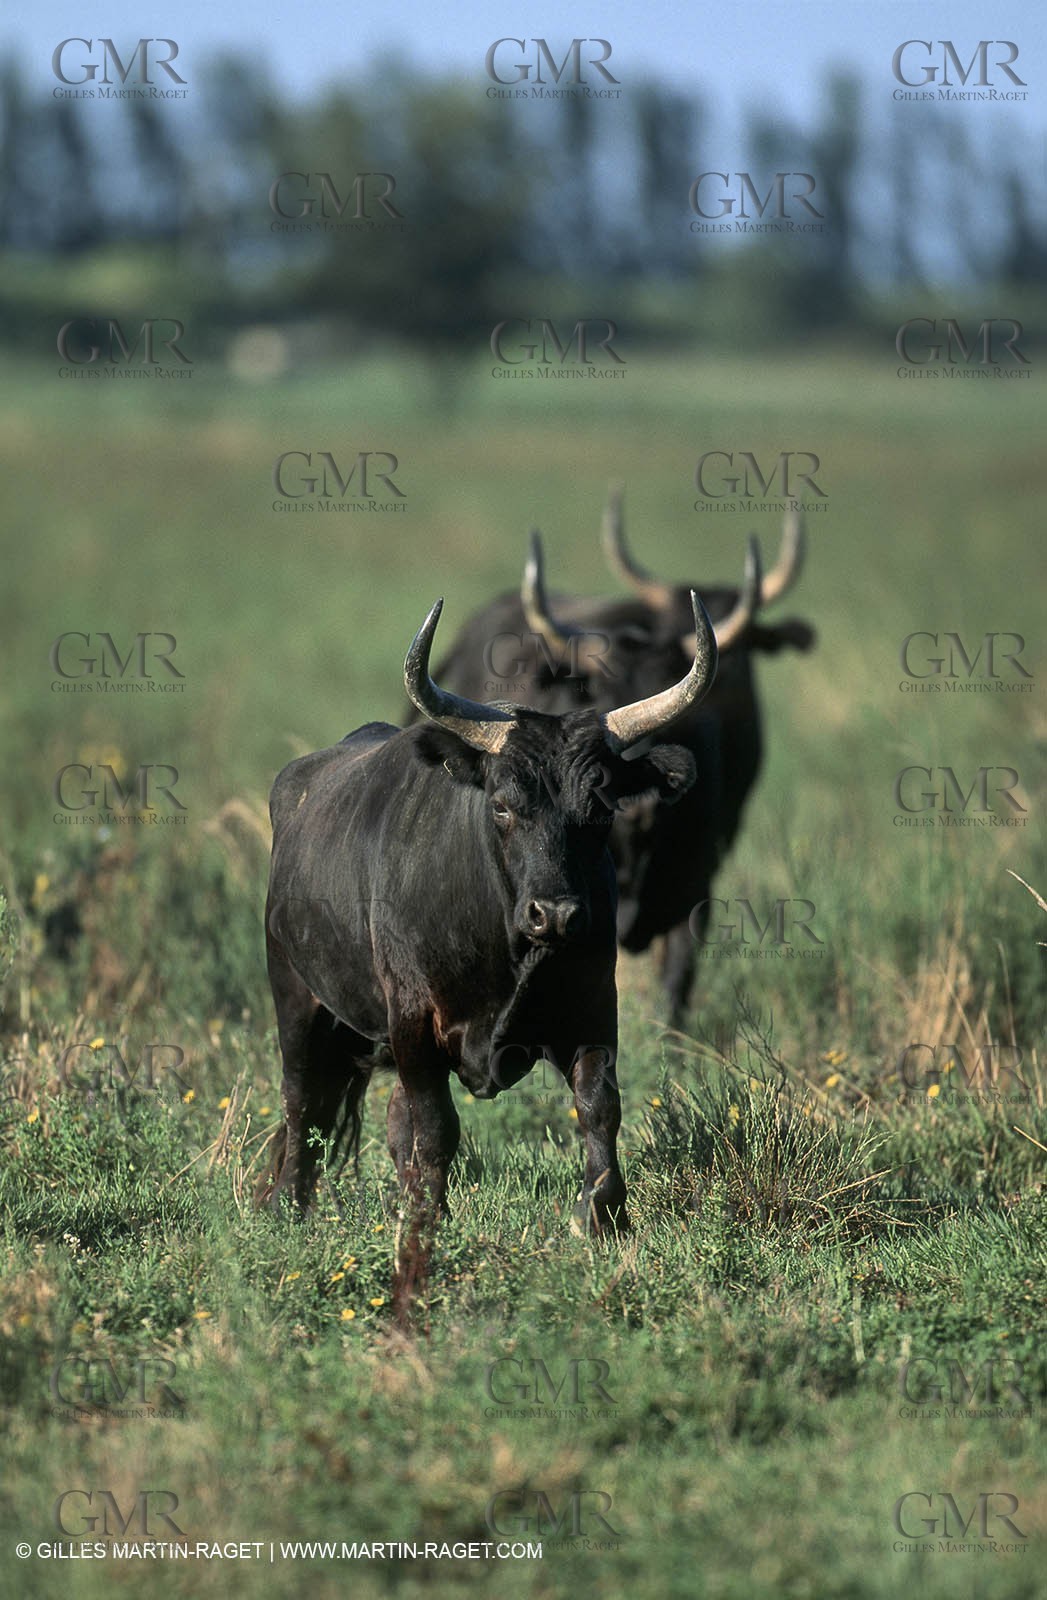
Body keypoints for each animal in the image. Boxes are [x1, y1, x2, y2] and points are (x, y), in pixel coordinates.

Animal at [258, 589, 718, 1249]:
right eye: (502, 805)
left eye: (601, 807)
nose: (556, 914)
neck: (504, 946)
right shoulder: (413, 1023)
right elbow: (436, 1127)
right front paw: (427, 1223)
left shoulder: (592, 1009)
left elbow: (599, 1105)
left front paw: (604, 1215)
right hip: (296, 997)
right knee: (300, 1100)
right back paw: (287, 1203)